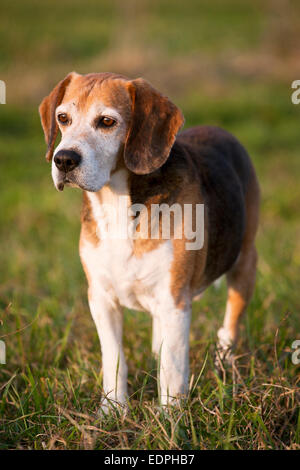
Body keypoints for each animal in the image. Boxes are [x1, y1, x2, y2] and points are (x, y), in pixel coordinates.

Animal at [39, 71, 260, 410]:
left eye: (106, 121)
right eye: (63, 118)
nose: (63, 160)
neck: (117, 207)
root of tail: (222, 131)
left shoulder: (175, 301)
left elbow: (172, 369)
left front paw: (171, 416)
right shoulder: (101, 299)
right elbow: (114, 359)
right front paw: (113, 410)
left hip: (244, 264)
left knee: (229, 326)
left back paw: (225, 365)